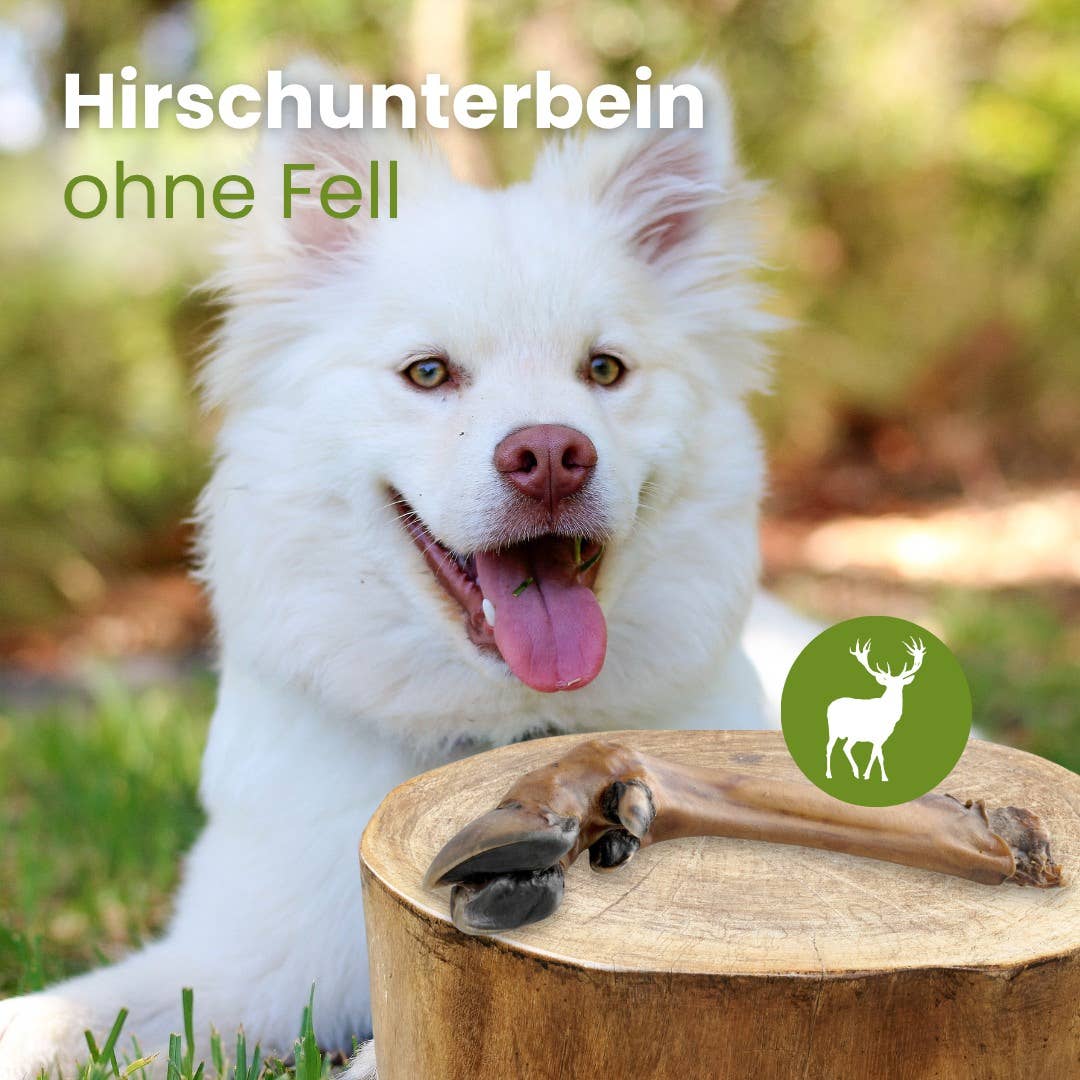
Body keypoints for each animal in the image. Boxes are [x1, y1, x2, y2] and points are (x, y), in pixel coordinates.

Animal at [825, 638, 926, 782]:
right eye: (888, 685)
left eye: (901, 685)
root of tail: (830, 705)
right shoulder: (877, 737)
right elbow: (878, 756)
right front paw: (873, 776)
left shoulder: (881, 738)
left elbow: (877, 755)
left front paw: (877, 776)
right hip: (834, 730)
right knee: (830, 747)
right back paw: (830, 774)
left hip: (852, 735)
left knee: (845, 748)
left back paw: (856, 772)